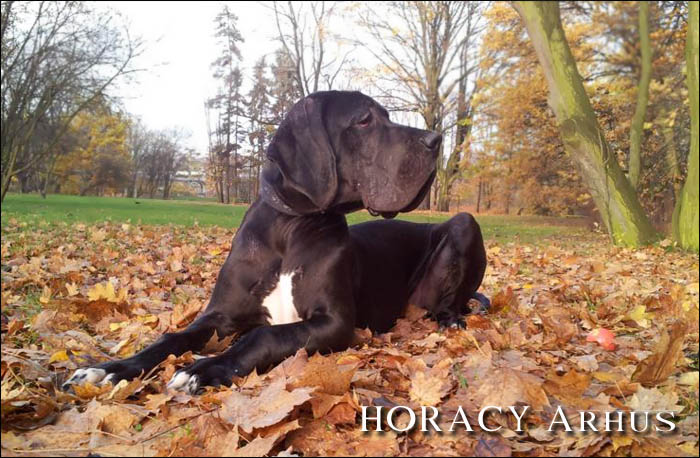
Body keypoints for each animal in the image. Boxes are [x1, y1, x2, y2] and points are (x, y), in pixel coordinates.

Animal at [63, 91, 487, 394]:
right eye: (365, 120)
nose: (436, 139)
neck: (291, 227)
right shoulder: (219, 316)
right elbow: (173, 337)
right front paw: (107, 368)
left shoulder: (334, 322)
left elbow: (264, 334)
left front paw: (205, 367)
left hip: (465, 223)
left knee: (452, 300)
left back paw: (451, 320)